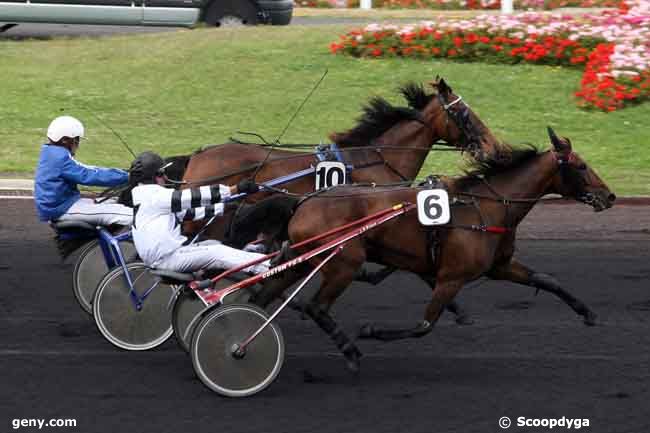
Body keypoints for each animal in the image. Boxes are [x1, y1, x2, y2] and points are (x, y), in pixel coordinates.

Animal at [247, 126, 612, 370]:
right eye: (581, 166)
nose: (609, 196)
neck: (488, 207)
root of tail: (303, 201)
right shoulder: (451, 277)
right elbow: (425, 325)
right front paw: (373, 330)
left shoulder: (500, 266)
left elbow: (547, 280)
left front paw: (588, 313)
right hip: (344, 261)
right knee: (316, 306)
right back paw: (349, 351)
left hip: (303, 258)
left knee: (263, 297)